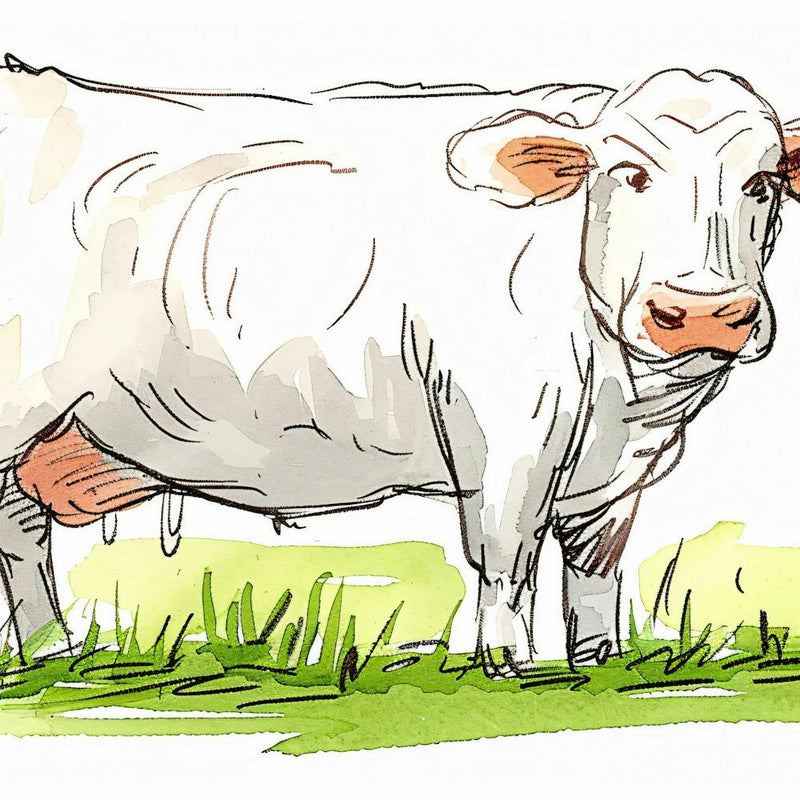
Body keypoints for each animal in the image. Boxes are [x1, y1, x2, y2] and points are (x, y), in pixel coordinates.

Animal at [0, 55, 797, 673]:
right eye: (629, 174)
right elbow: (507, 555)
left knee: (19, 526)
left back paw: (50, 652)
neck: (625, 394)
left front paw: (597, 662)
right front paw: (508, 664)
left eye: (763, 184)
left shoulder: (622, 469)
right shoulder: (507, 435)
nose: (702, 311)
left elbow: (595, 570)